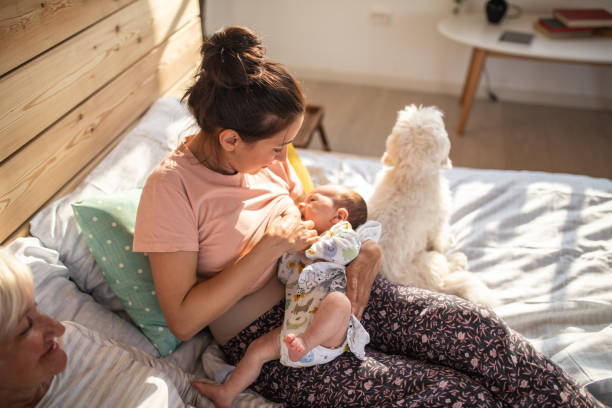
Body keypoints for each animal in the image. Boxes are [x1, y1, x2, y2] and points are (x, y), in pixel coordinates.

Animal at [368, 105, 492, 306]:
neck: (410, 178)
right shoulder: (438, 221)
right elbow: (439, 238)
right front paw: (448, 240)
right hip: (432, 261)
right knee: (445, 268)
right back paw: (457, 260)